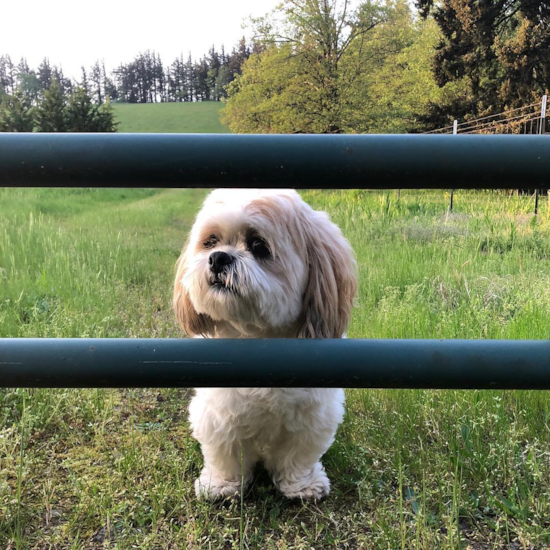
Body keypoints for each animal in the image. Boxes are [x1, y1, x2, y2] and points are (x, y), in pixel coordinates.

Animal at [175, 191, 360, 504]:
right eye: (210, 241)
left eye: (258, 245)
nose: (218, 257)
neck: (260, 340)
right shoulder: (217, 413)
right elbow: (225, 453)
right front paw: (222, 485)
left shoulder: (314, 415)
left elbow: (298, 455)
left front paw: (301, 485)